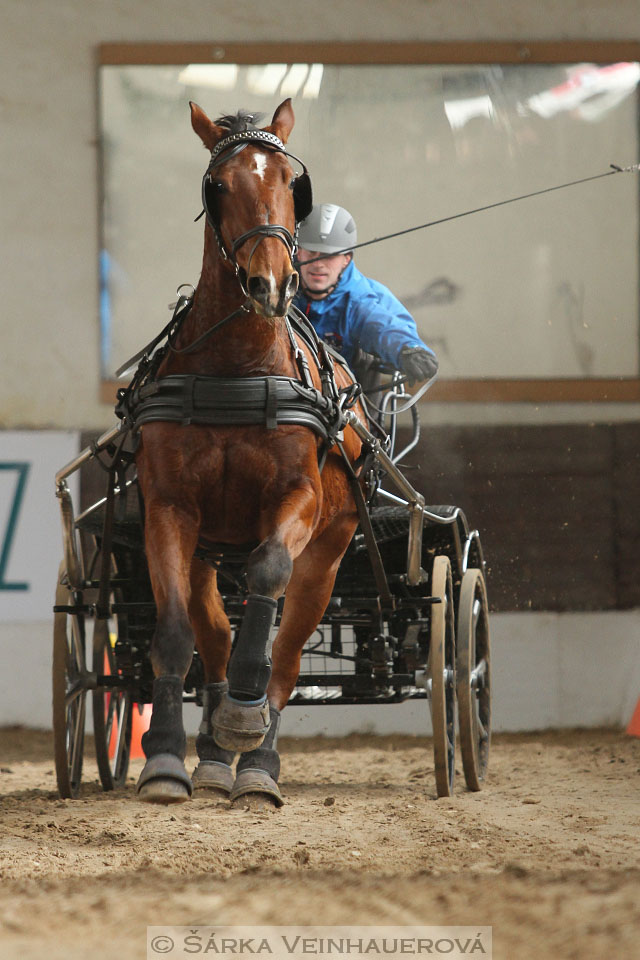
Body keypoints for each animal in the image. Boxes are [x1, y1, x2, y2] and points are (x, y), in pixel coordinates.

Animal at [134, 99, 364, 804]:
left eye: (292, 183)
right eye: (219, 185)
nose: (272, 284)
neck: (237, 371)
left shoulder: (300, 501)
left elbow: (267, 575)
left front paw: (243, 716)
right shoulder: (170, 510)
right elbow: (176, 635)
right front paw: (165, 758)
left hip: (328, 553)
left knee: (285, 658)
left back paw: (258, 761)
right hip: (206, 553)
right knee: (212, 636)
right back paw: (211, 757)